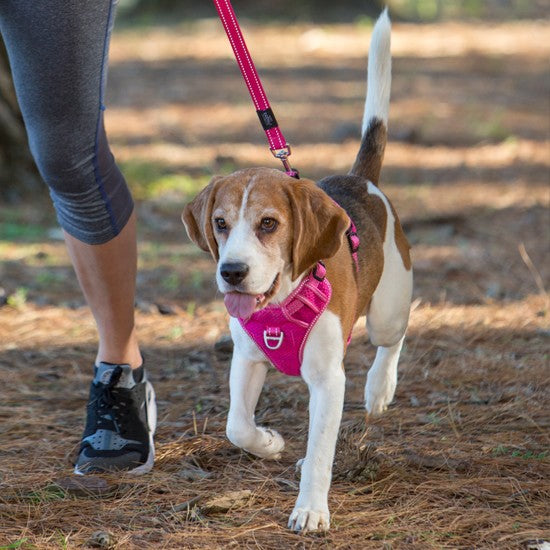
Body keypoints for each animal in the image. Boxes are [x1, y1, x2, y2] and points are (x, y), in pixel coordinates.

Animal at [183, 10, 412, 532]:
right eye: (220, 224)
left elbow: (323, 448)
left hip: (389, 309)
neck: (281, 301)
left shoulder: (327, 381)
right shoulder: (247, 360)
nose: (232, 272)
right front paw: (268, 443)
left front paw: (310, 508)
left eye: (268, 224)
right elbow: (236, 426)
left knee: (393, 338)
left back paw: (380, 389)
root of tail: (360, 181)